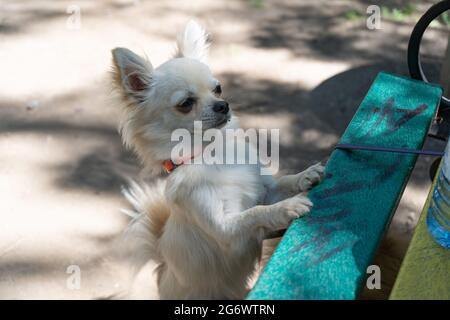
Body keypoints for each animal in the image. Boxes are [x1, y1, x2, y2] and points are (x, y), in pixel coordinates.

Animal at [111, 21, 324, 298]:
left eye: (218, 88)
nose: (223, 105)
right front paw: (287, 208)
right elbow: (255, 213)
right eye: (185, 103)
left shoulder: (264, 190)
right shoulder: (227, 230)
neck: (212, 153)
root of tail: (163, 265)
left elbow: (281, 183)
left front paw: (305, 175)